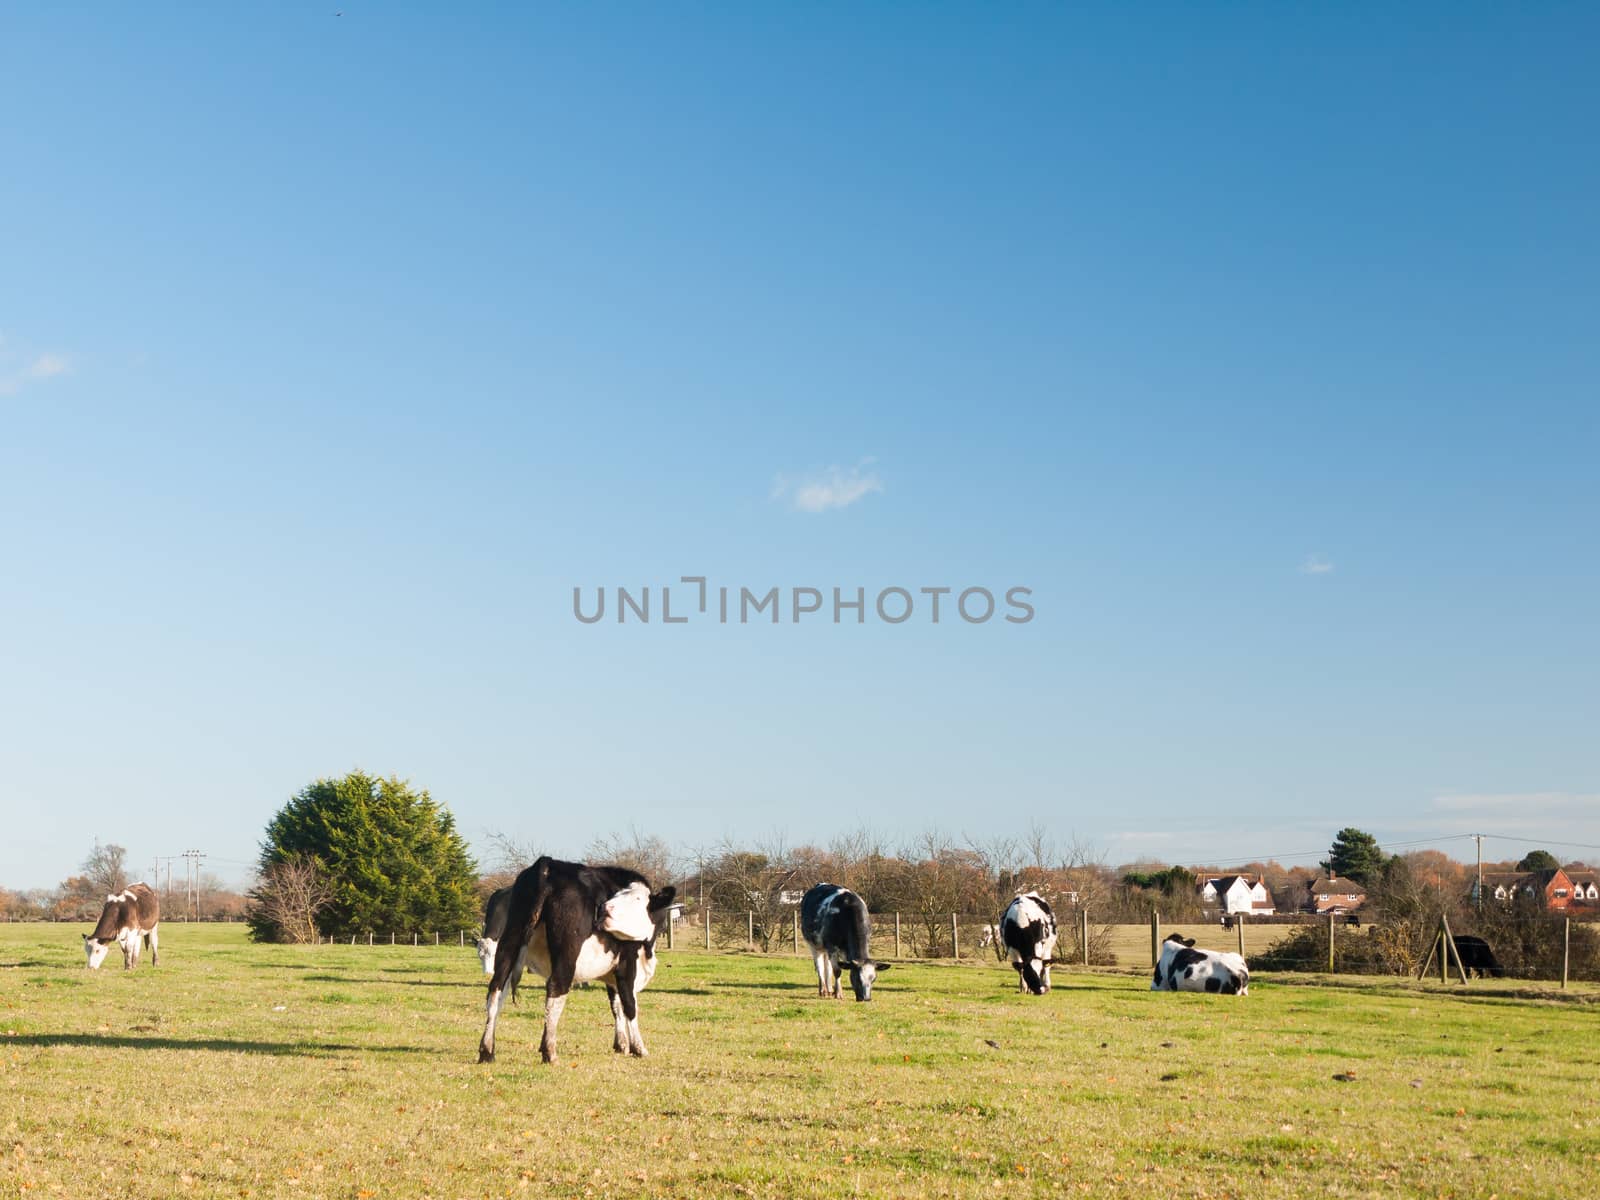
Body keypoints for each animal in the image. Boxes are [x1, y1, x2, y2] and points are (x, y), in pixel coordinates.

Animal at [473, 857, 675, 1068]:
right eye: (619, 895)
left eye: (637, 900)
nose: (604, 908)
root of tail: (548, 864)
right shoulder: (627, 964)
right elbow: (629, 1005)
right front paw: (638, 1048)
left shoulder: (611, 971)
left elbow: (616, 1005)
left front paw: (621, 1044)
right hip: (566, 954)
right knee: (556, 988)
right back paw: (550, 1052)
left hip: (510, 942)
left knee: (496, 991)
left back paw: (487, 1050)